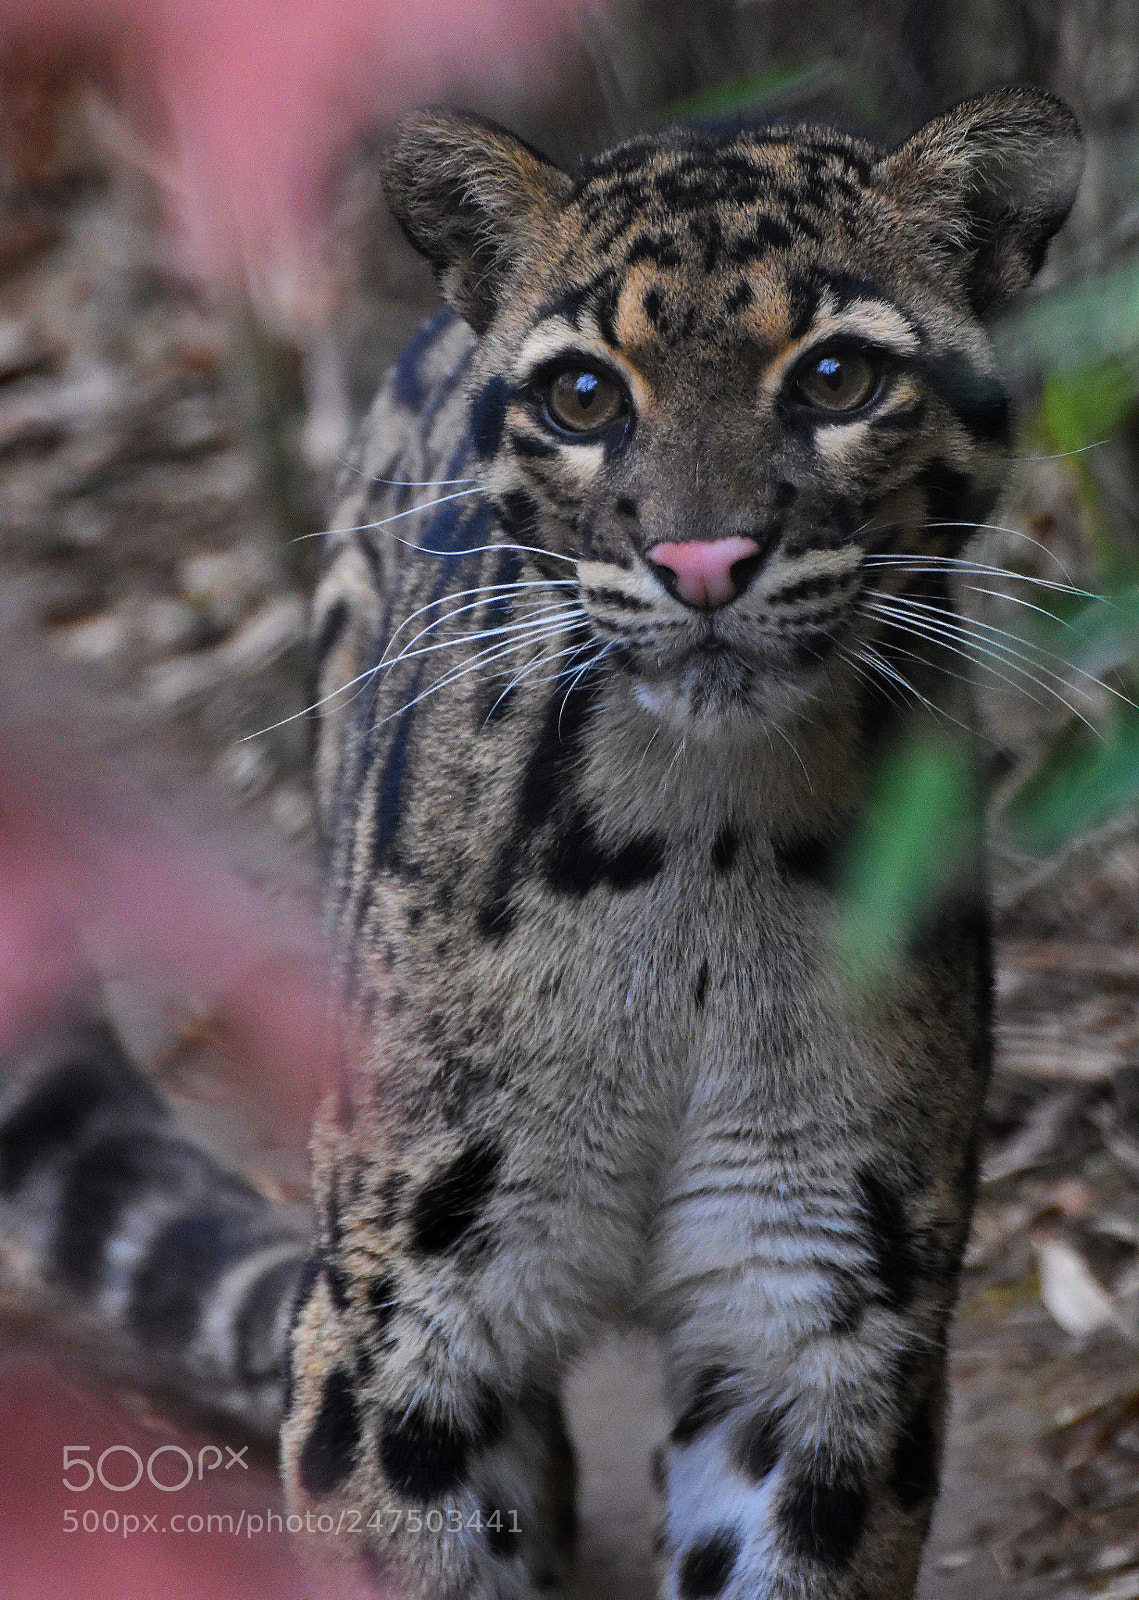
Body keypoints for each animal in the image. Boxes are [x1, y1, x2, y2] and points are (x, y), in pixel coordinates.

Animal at [0, 86, 1083, 1600]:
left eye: (834, 379)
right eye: (582, 396)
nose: (702, 561)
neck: (701, 843)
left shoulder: (820, 1308)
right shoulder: (407, 1313)